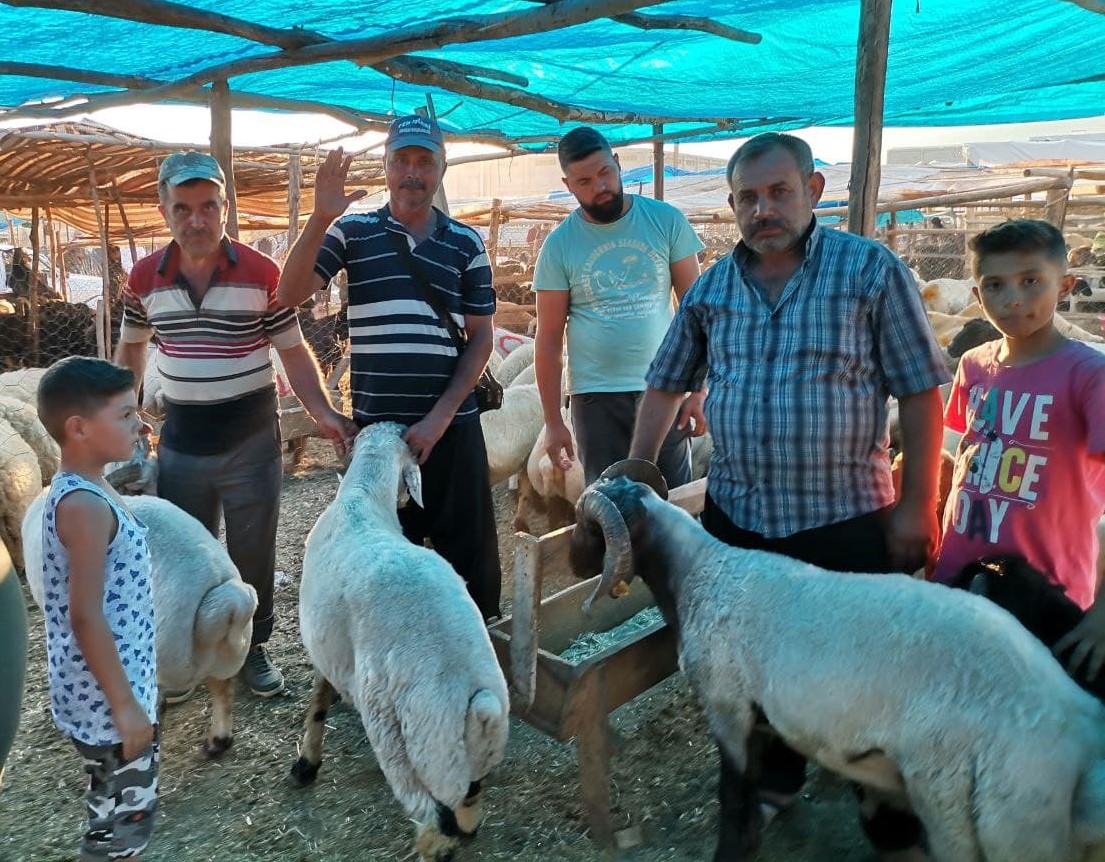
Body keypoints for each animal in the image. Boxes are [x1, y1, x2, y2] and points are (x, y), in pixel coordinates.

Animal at [287, 419, 506, 857]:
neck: (361, 501)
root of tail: (477, 700)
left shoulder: (325, 647)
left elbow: (318, 699)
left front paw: (306, 763)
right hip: (472, 760)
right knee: (468, 802)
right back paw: (471, 825)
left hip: (405, 739)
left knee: (433, 824)